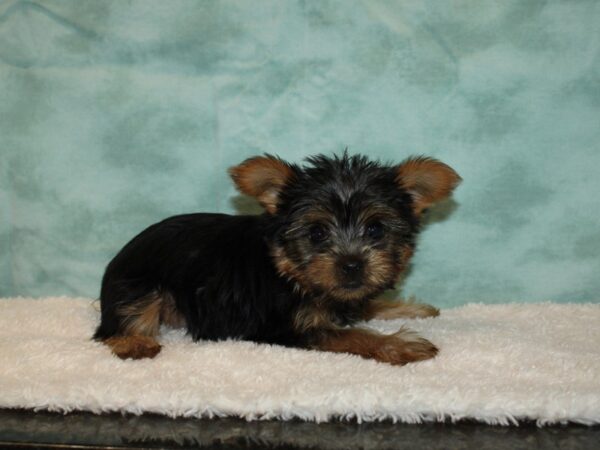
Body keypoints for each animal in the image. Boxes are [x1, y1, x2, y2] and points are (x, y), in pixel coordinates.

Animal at [94, 153, 462, 364]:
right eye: (316, 233)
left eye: (375, 230)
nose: (351, 265)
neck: (290, 270)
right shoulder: (285, 326)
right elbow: (348, 334)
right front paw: (399, 344)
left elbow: (360, 307)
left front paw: (411, 309)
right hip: (139, 285)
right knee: (117, 324)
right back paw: (134, 343)